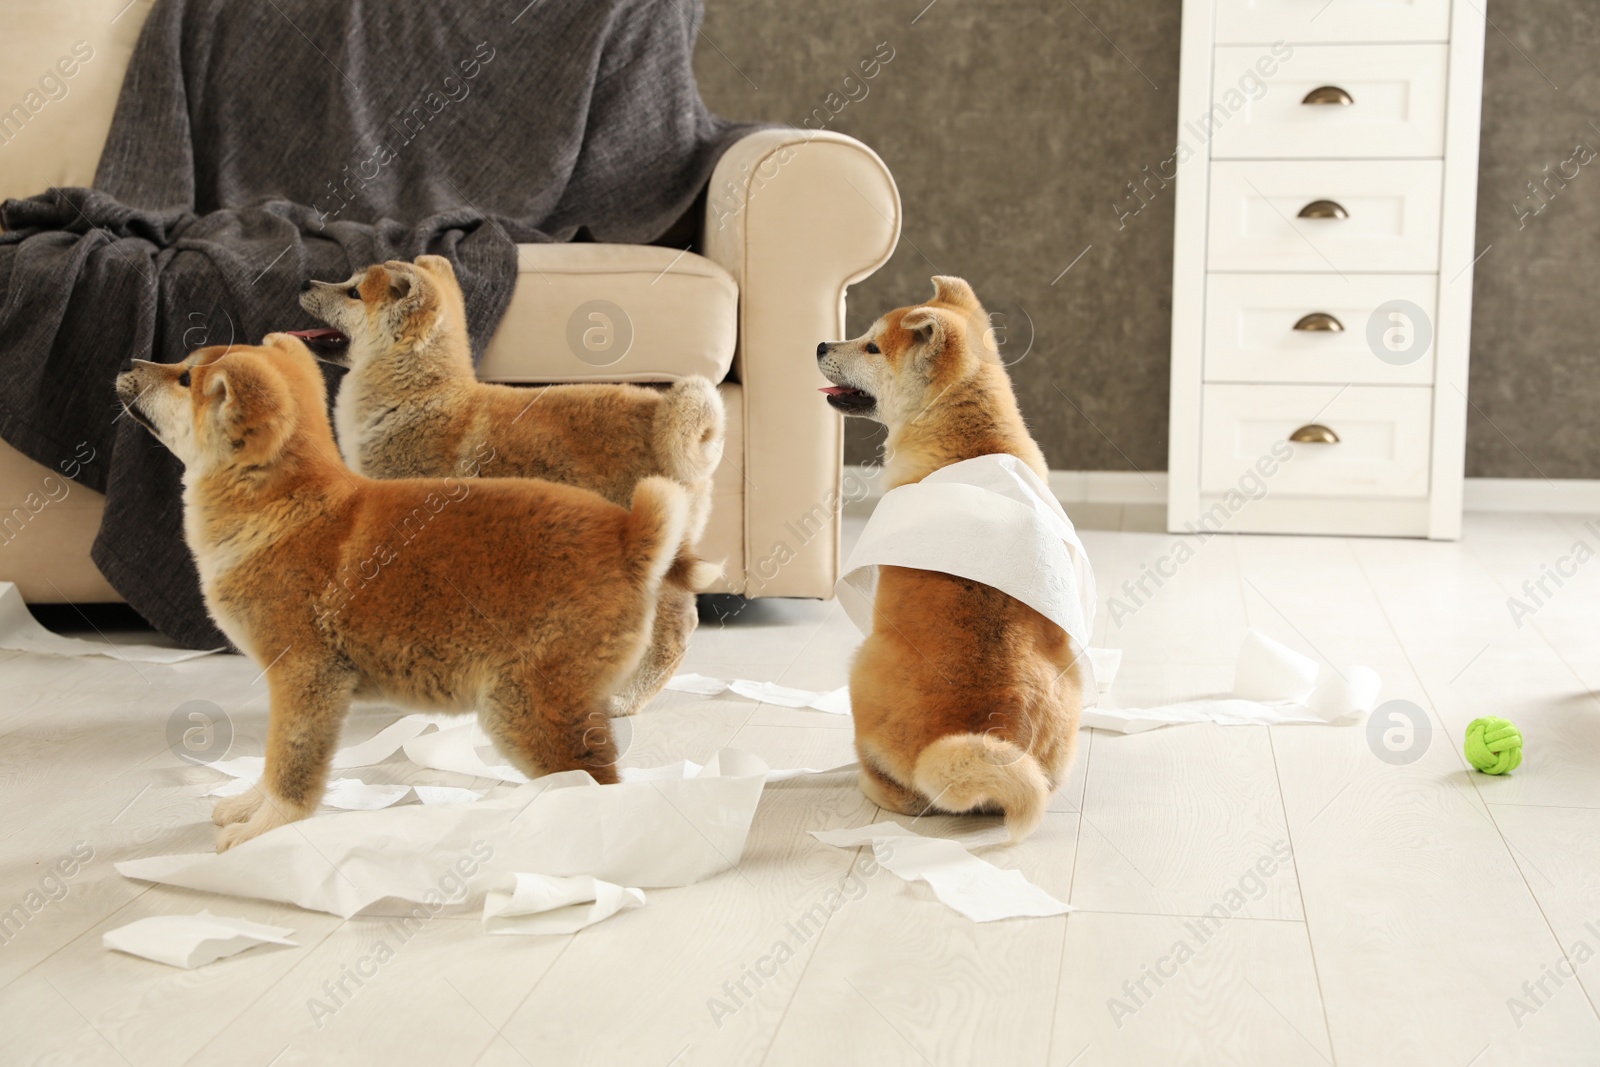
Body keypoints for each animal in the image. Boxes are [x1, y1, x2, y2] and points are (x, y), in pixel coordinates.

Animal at [112, 334, 688, 851]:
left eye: (184, 377)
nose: (129, 362)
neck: (282, 506)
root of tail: (629, 536)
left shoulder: (305, 675)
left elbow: (289, 765)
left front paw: (267, 825)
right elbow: (274, 761)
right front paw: (249, 805)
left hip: (525, 704)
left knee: (594, 782)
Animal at [300, 255, 726, 716]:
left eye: (353, 292)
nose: (304, 281)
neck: (418, 396)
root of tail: (665, 414)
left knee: (676, 631)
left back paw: (627, 699)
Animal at [812, 278, 1088, 844]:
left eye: (872, 347)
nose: (822, 345)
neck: (969, 443)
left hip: (862, 666)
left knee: (896, 788)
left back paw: (869, 783)